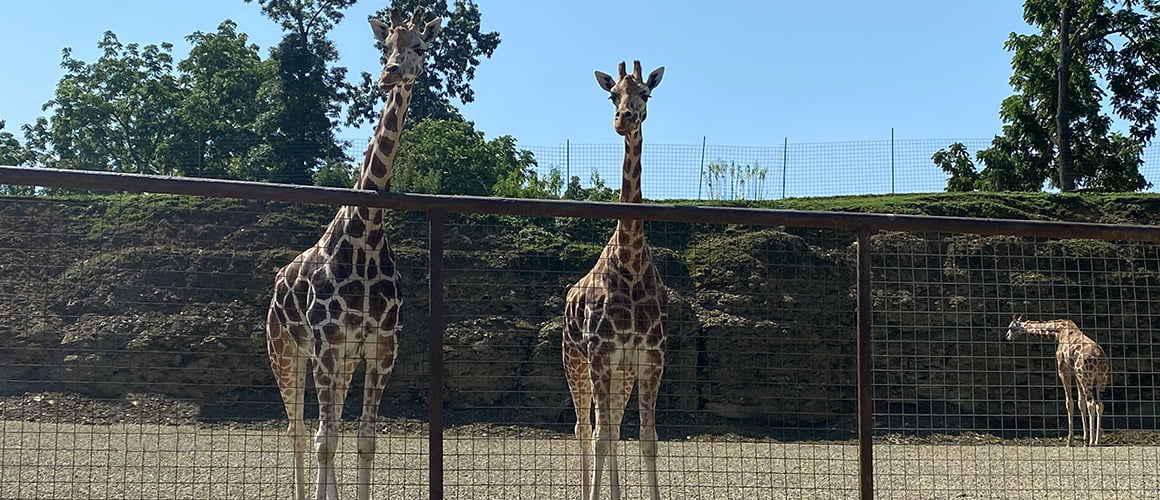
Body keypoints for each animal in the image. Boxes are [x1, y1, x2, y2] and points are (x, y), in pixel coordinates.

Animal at [265, 8, 440, 500]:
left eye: (420, 46)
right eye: (385, 47)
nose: (390, 74)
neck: (365, 233)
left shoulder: (380, 346)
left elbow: (363, 439)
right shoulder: (327, 343)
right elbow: (325, 440)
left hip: (337, 361)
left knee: (328, 425)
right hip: (285, 351)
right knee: (299, 431)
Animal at [1004, 315, 1110, 446]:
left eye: (1010, 327)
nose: (1007, 337)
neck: (1058, 331)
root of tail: (1099, 355)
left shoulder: (1063, 370)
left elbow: (1069, 403)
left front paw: (1070, 441)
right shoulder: (1075, 373)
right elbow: (1081, 403)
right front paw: (1084, 439)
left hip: (1087, 377)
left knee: (1092, 404)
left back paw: (1092, 442)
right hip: (1101, 379)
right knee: (1100, 405)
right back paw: (1097, 440)